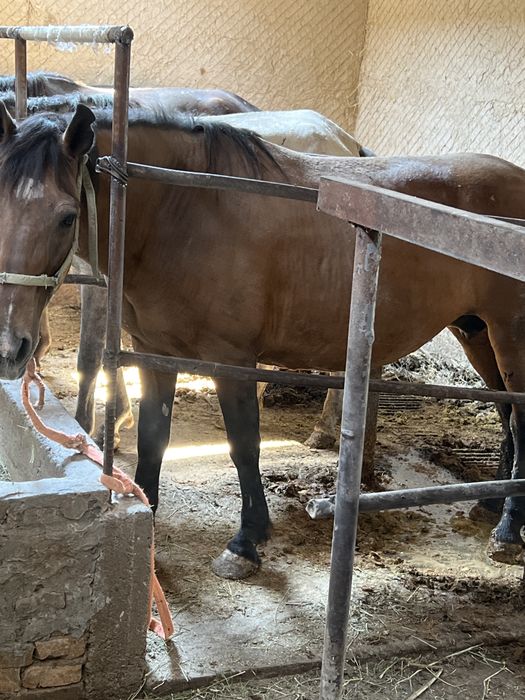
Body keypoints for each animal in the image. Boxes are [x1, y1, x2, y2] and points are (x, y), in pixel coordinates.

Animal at [0, 103, 524, 582]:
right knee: (507, 418)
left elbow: (243, 444)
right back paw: (489, 505)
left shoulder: (231, 359)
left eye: (67, 217)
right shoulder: (154, 351)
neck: (183, 210)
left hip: (509, 336)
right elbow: (153, 435)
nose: (10, 347)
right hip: (477, 334)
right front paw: (148, 514)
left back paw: (507, 532)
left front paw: (246, 543)